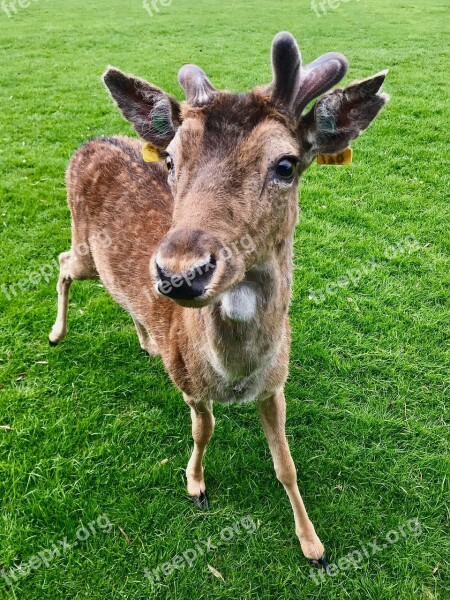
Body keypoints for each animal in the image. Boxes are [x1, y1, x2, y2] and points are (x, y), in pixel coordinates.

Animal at [48, 34, 386, 572]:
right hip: (84, 249)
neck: (233, 374)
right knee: (61, 262)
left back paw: (146, 339)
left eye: (286, 164)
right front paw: (196, 486)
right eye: (170, 161)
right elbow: (202, 431)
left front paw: (314, 546)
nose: (177, 273)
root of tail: (87, 143)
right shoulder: (187, 382)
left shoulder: (276, 382)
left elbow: (286, 465)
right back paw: (57, 333)